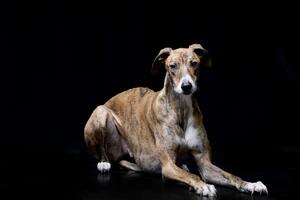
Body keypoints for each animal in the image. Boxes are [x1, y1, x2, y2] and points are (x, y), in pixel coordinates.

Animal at [84, 44, 268, 197]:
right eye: (172, 66)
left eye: (194, 63)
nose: (187, 86)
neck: (181, 109)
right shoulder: (168, 167)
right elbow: (191, 175)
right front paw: (203, 186)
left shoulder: (205, 164)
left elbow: (230, 175)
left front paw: (251, 184)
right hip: (100, 113)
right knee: (102, 153)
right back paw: (103, 163)